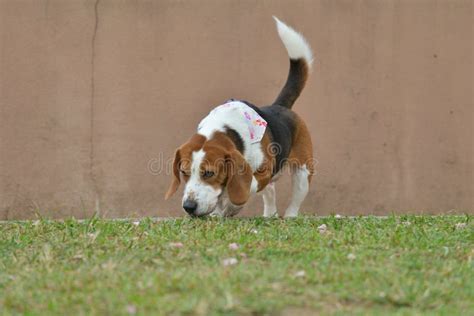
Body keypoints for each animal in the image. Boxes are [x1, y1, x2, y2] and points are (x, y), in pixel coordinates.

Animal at [167, 17, 314, 217]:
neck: (226, 128)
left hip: (303, 172)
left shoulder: (264, 171)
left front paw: (230, 204)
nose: (189, 207)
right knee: (270, 193)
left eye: (209, 173)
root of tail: (279, 106)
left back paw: (289, 216)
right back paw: (269, 216)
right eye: (183, 172)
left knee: (295, 199)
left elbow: (243, 186)